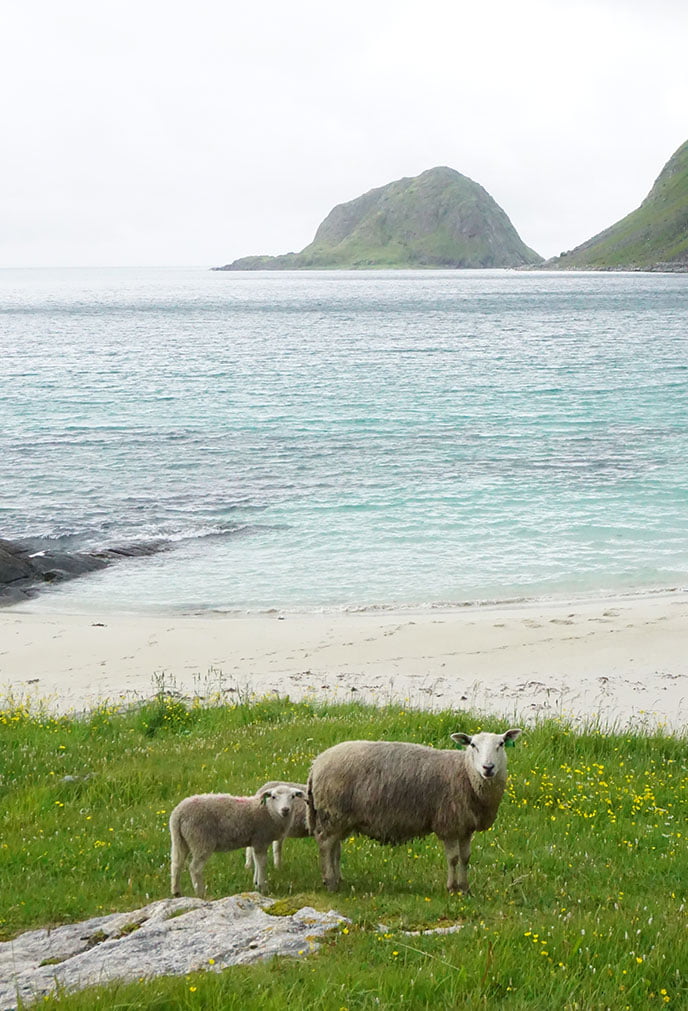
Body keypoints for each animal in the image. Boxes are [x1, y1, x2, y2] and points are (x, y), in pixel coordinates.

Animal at [168, 776, 303, 897]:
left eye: (292, 797)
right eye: (274, 797)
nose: (285, 809)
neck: (269, 812)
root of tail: (178, 814)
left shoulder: (255, 841)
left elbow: (256, 862)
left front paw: (256, 884)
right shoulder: (261, 840)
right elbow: (262, 863)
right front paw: (263, 887)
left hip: (180, 840)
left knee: (176, 864)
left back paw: (176, 892)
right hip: (200, 840)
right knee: (195, 868)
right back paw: (201, 893)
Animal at [305, 727, 521, 893]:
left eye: (501, 744)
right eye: (473, 745)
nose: (488, 767)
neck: (466, 774)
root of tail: (316, 764)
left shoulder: (465, 826)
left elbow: (465, 858)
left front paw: (465, 888)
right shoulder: (449, 824)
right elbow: (453, 859)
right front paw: (452, 888)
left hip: (339, 817)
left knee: (334, 847)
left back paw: (338, 879)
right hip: (333, 812)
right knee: (325, 844)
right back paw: (330, 882)